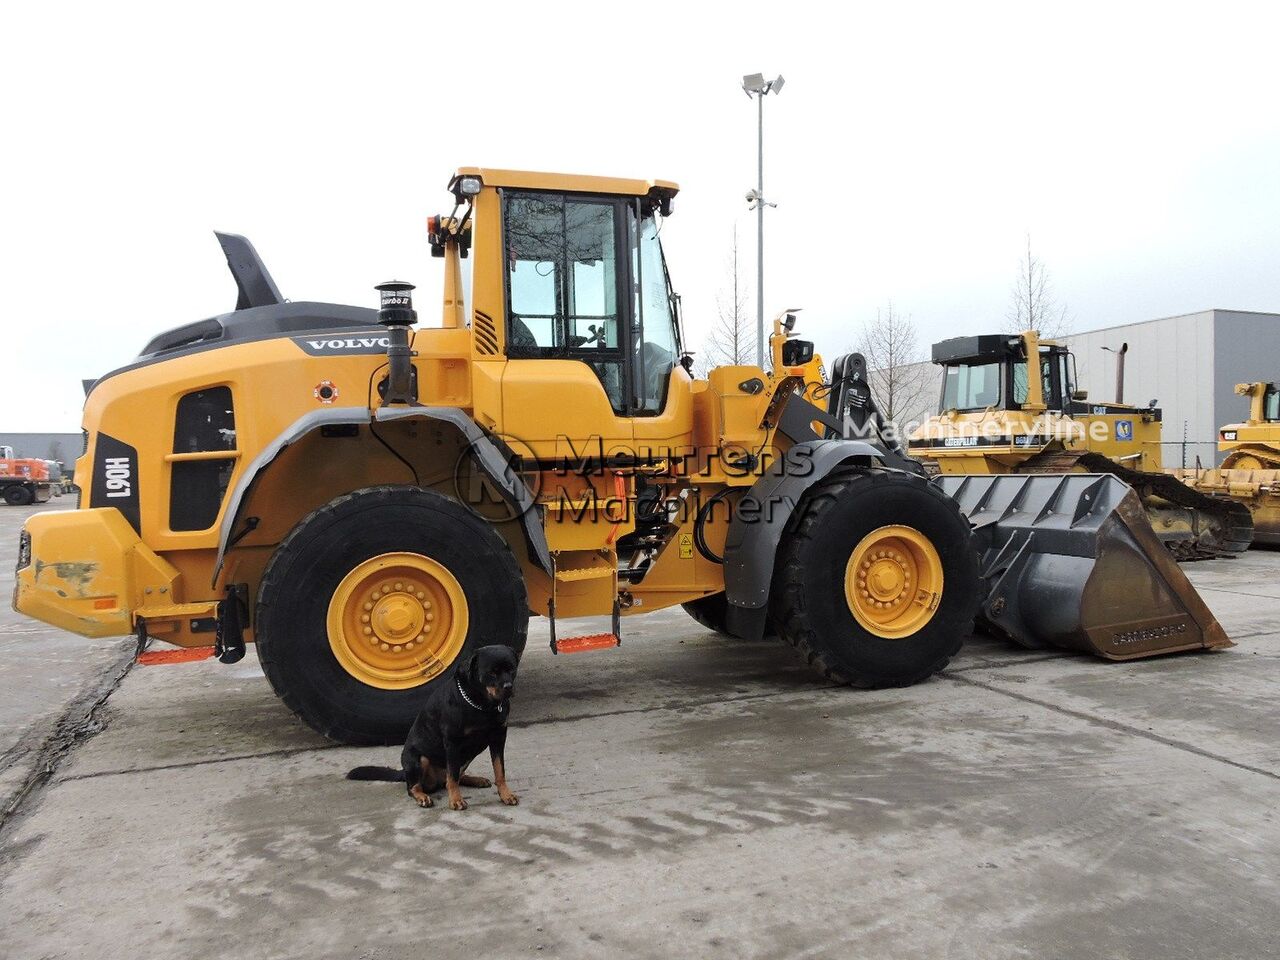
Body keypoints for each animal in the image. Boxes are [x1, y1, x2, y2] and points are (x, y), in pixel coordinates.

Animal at [348, 647, 517, 814]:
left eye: (512, 669)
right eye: (492, 672)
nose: (509, 687)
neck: (482, 704)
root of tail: (404, 771)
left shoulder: (498, 738)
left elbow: (499, 770)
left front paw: (505, 794)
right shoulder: (452, 742)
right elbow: (452, 777)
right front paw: (455, 800)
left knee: (454, 777)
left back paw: (476, 780)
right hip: (418, 759)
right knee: (415, 787)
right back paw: (422, 797)